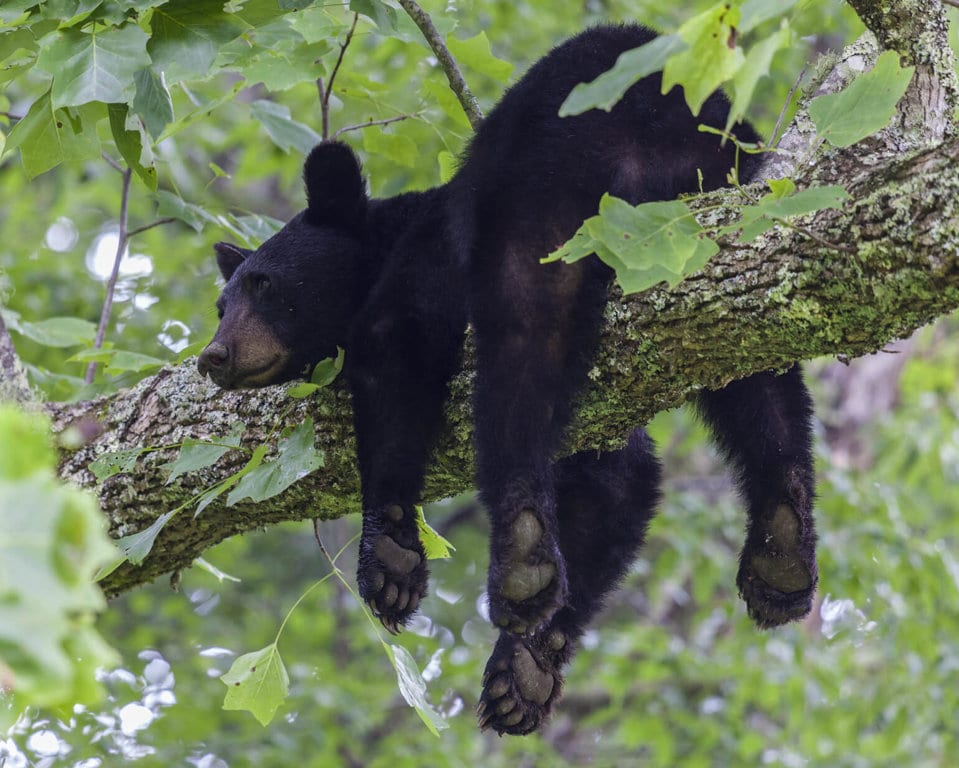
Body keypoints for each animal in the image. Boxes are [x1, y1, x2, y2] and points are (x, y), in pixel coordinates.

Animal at [198, 24, 817, 735]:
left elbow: (394, 345)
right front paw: (524, 671)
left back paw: (519, 550)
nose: (213, 356)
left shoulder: (430, 255)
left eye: (265, 286)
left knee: (524, 335)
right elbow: (619, 478)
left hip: (545, 184)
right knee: (755, 359)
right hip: (719, 206)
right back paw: (782, 545)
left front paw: (391, 556)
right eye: (221, 304)